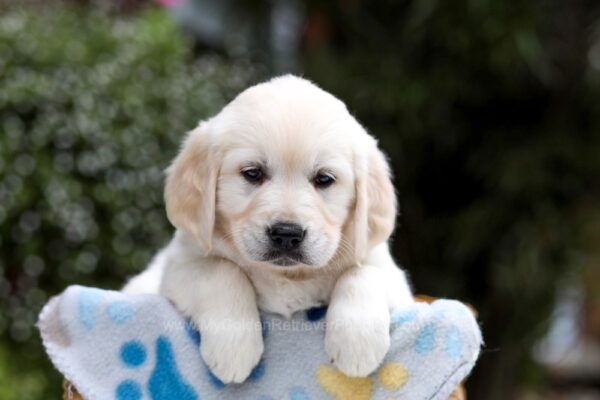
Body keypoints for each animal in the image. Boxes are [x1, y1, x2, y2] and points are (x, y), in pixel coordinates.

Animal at [122, 75, 412, 384]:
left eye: (324, 179)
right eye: (252, 173)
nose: (287, 234)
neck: (285, 276)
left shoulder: (390, 275)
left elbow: (363, 272)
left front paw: (357, 343)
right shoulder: (181, 265)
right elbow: (222, 270)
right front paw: (233, 348)